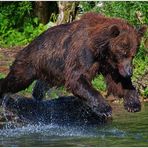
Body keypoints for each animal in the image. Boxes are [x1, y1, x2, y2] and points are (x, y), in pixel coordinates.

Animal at [0, 12, 146, 117]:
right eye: (123, 52)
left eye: (133, 54)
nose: (129, 72)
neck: (100, 49)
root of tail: (27, 46)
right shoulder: (83, 53)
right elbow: (77, 78)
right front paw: (105, 108)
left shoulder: (108, 64)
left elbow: (116, 82)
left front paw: (133, 104)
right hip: (29, 63)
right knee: (16, 80)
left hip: (50, 70)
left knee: (41, 86)